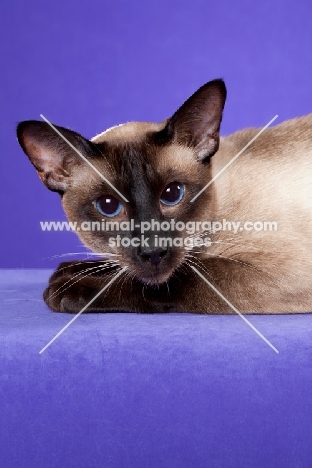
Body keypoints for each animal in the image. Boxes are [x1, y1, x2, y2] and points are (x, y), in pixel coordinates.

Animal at [15, 79, 312, 314]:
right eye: (108, 206)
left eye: (172, 194)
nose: (152, 251)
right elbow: (121, 267)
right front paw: (69, 271)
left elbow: (179, 278)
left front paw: (68, 288)